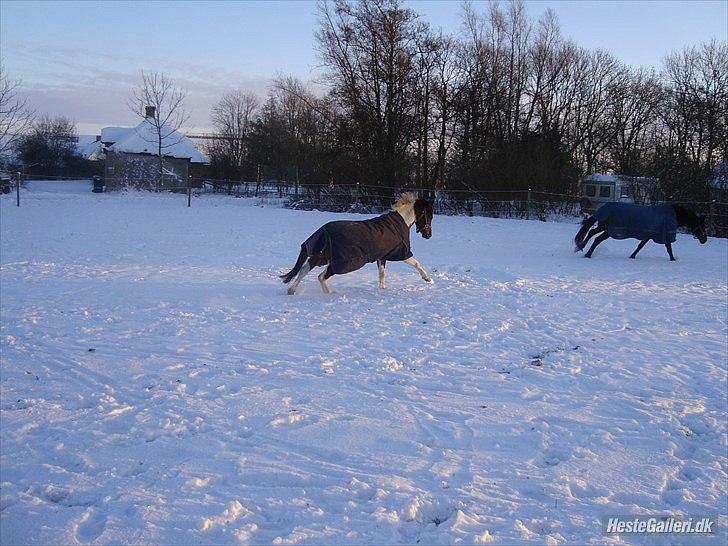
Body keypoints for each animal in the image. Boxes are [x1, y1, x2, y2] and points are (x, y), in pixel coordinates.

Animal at [282, 192, 432, 294]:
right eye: (428, 216)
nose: (428, 235)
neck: (400, 222)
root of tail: (323, 232)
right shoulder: (401, 253)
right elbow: (416, 263)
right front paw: (427, 279)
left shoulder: (382, 257)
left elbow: (382, 274)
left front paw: (382, 289)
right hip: (340, 263)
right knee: (321, 276)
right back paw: (329, 293)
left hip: (321, 256)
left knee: (304, 269)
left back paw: (291, 290)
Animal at [576, 202, 704, 260]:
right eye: (701, 225)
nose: (704, 240)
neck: (670, 216)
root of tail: (604, 207)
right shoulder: (664, 235)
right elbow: (669, 249)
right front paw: (673, 259)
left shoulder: (648, 235)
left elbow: (640, 246)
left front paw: (632, 256)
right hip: (608, 230)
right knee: (596, 238)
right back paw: (586, 253)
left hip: (605, 228)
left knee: (592, 233)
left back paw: (581, 247)